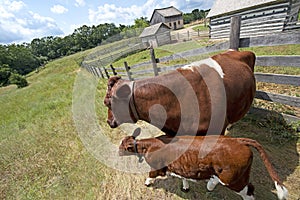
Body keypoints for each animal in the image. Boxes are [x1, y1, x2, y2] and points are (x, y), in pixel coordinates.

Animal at [118, 129, 288, 199]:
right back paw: (210, 184)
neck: (150, 145)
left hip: (233, 179)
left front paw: (147, 183)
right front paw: (185, 187)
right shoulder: (181, 166)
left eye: (122, 147)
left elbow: (150, 175)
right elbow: (183, 177)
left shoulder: (157, 166)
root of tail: (237, 140)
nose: (117, 152)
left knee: (249, 191)